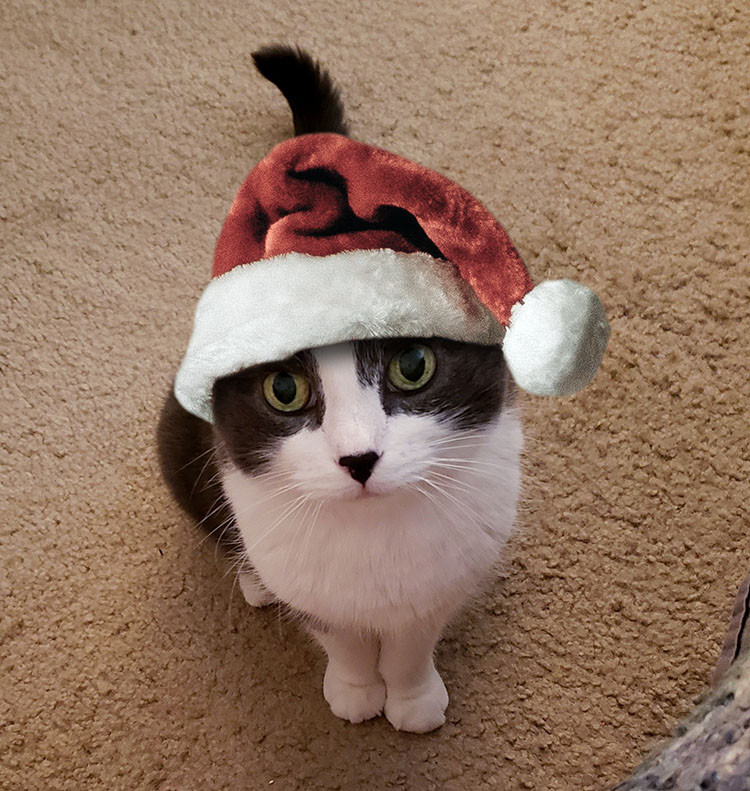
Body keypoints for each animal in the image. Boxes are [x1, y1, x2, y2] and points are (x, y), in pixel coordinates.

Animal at [158, 46, 524, 732]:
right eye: (283, 388)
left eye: (413, 364)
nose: (359, 459)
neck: (372, 535)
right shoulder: (309, 580)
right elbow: (341, 637)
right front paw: (355, 690)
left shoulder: (445, 578)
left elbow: (411, 642)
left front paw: (410, 697)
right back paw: (253, 579)